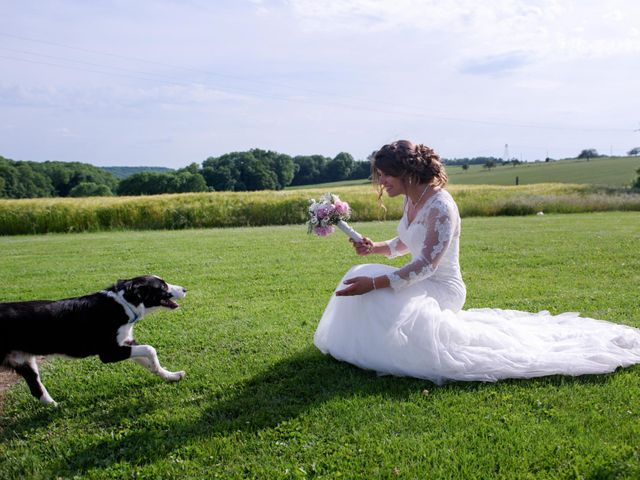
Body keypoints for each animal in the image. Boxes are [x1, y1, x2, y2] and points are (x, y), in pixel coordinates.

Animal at [1, 274, 188, 404]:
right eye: (162, 286)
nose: (185, 289)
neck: (123, 304)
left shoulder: (125, 342)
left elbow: (147, 360)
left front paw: (170, 376)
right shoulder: (109, 353)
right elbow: (150, 349)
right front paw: (160, 369)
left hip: (24, 361)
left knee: (36, 389)